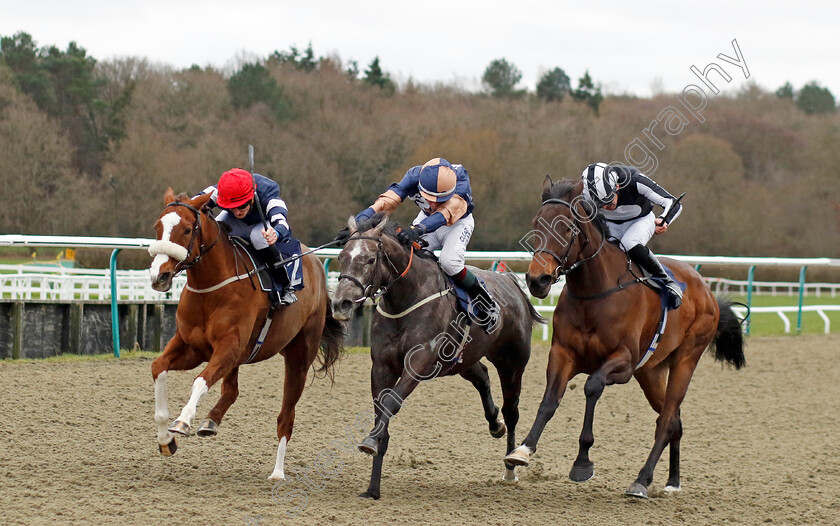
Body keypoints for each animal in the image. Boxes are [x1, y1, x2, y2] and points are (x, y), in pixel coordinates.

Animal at [148, 190, 344, 482]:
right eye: (157, 227)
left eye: (186, 229)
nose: (158, 275)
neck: (211, 288)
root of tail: (316, 263)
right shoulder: (192, 347)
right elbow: (158, 367)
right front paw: (165, 441)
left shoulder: (228, 347)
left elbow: (200, 381)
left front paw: (182, 421)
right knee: (232, 390)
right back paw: (211, 421)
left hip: (298, 357)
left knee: (286, 416)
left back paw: (277, 472)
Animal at [332, 216, 540, 504]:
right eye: (341, 256)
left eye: (371, 259)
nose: (341, 303)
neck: (407, 299)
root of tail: (511, 284)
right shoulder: (382, 368)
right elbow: (380, 413)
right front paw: (373, 487)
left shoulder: (418, 363)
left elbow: (392, 402)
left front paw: (370, 443)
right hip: (462, 360)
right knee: (483, 378)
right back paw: (494, 423)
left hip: (512, 363)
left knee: (512, 411)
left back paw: (510, 467)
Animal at [502, 177, 744, 500]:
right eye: (536, 223)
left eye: (566, 228)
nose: (536, 280)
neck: (594, 292)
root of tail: (706, 290)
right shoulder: (562, 353)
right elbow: (549, 400)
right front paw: (523, 450)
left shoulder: (624, 362)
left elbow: (592, 387)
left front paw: (582, 462)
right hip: (651, 372)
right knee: (675, 422)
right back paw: (672, 481)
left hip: (686, 359)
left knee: (667, 420)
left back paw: (642, 480)